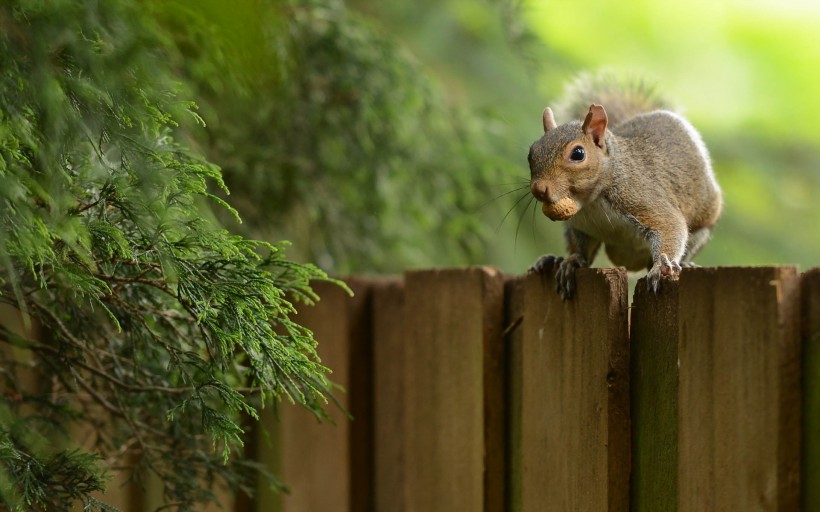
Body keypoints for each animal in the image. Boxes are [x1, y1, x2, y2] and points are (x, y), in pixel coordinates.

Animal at [528, 75, 720, 300]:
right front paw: (572, 261)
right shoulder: (580, 227)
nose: (539, 189)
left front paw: (661, 267)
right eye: (531, 153)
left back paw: (685, 264)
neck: (590, 203)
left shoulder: (640, 196)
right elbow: (583, 252)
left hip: (700, 229)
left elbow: (670, 225)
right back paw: (554, 260)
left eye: (578, 153)